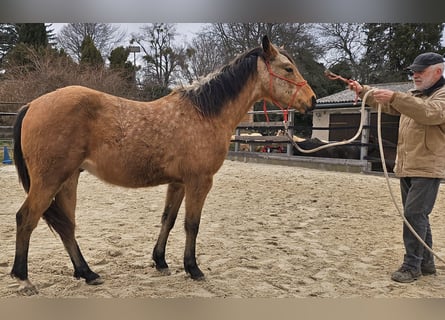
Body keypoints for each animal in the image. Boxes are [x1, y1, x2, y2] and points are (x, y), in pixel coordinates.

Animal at [10, 35, 316, 296]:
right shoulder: (200, 181)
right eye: (288, 68)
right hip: (49, 180)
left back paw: (87, 273)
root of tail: (32, 105)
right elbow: (192, 224)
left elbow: (168, 219)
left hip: (68, 180)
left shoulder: (178, 182)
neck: (204, 114)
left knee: (66, 226)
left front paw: (160, 262)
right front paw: (193, 268)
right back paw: (24, 278)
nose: (311, 100)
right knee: (26, 218)